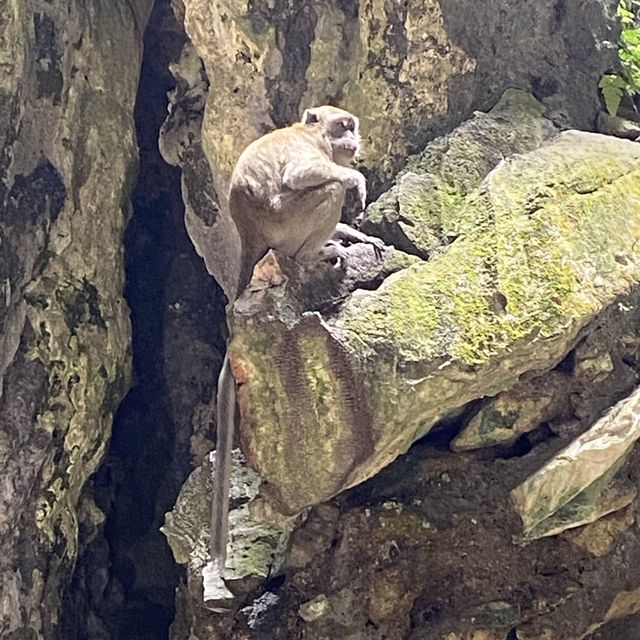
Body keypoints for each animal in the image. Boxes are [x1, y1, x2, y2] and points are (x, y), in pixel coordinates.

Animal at [210, 105, 384, 568]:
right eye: (343, 126)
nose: (353, 140)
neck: (309, 133)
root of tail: (250, 234)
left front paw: (360, 234)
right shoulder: (306, 151)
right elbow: (306, 175)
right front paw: (355, 181)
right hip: (288, 221)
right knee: (326, 190)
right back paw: (309, 255)